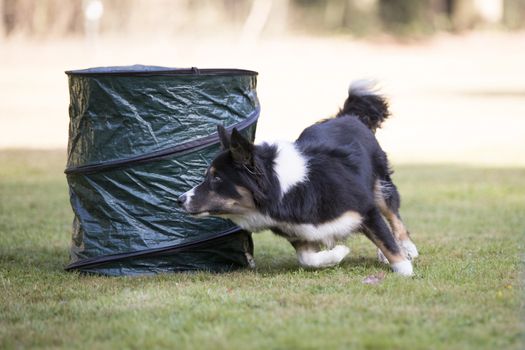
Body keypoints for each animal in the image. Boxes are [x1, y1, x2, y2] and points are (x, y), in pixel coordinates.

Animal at [179, 81, 418, 276]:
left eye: (217, 178)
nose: (179, 199)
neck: (288, 189)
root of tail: (345, 117)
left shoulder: (364, 207)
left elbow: (387, 241)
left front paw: (403, 267)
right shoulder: (299, 231)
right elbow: (308, 259)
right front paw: (338, 253)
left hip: (380, 185)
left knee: (394, 218)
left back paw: (407, 248)